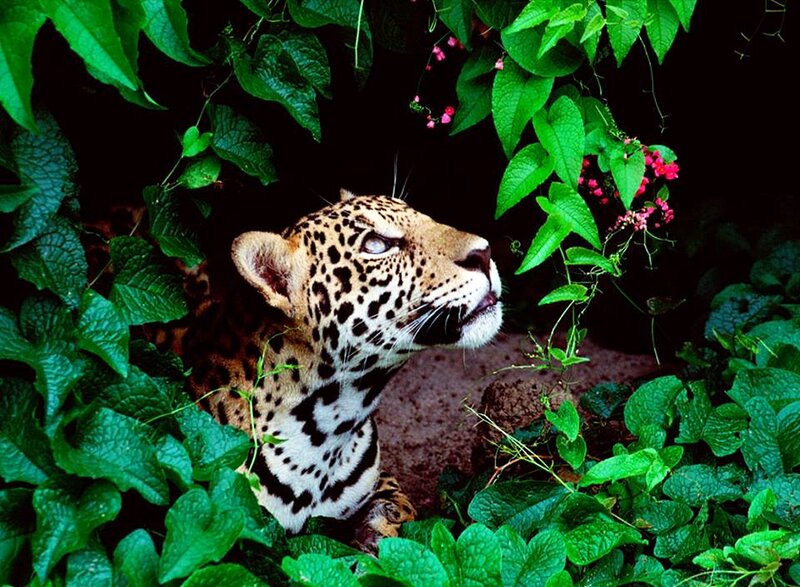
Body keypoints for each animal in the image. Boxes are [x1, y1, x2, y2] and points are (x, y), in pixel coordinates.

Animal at [177, 189, 503, 550]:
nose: (485, 252)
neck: (330, 423)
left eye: (423, 217)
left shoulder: (384, 480)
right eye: (375, 245)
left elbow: (397, 511)